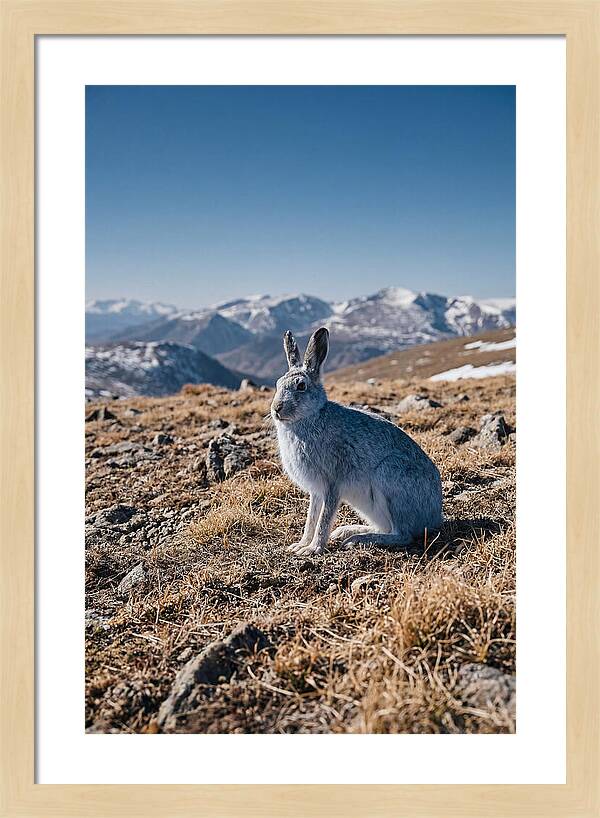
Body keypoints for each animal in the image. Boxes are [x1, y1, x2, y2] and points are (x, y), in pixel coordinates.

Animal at [271, 326, 443, 556]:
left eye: (301, 386)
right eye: (277, 384)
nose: (276, 409)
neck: (310, 417)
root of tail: (435, 518)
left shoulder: (332, 483)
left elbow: (323, 518)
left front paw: (313, 549)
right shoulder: (316, 491)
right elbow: (311, 518)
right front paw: (300, 545)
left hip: (390, 478)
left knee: (402, 534)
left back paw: (358, 539)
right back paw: (347, 531)